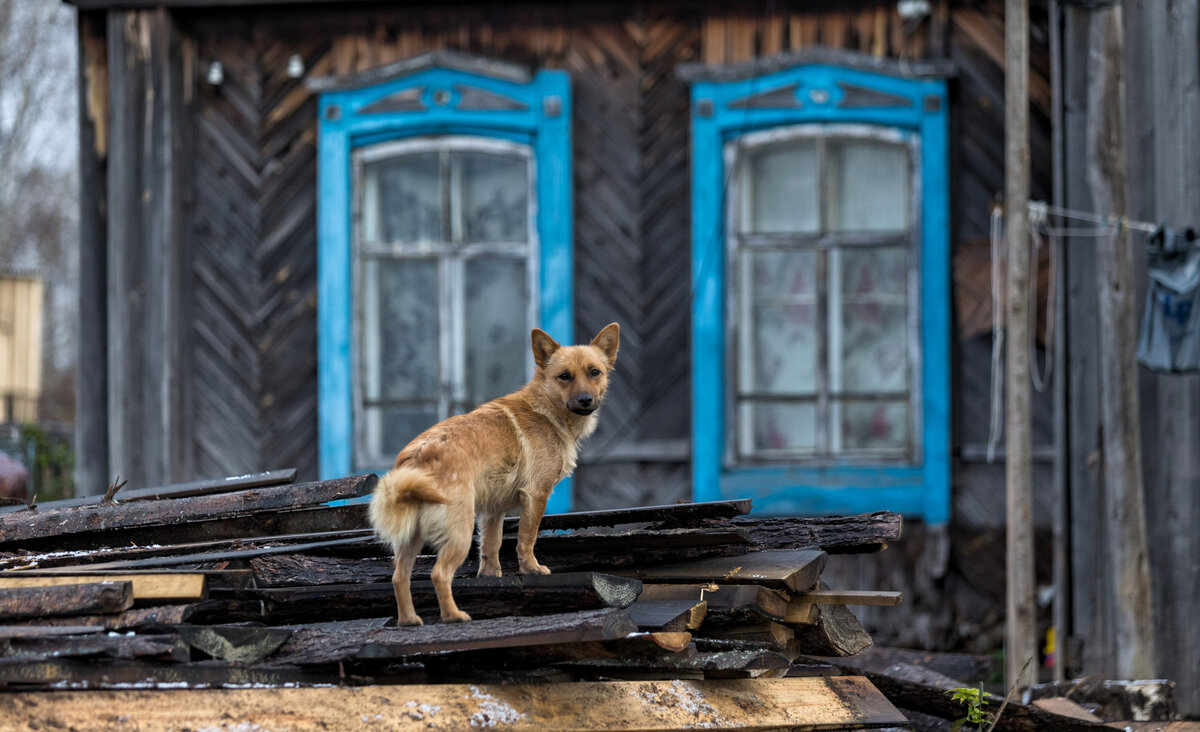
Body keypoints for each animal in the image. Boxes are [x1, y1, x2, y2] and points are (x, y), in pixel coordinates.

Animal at [369, 321, 624, 619]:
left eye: (595, 372)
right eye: (564, 376)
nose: (585, 400)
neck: (546, 409)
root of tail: (419, 453)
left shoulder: (493, 512)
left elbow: (491, 548)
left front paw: (491, 578)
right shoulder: (536, 495)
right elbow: (527, 538)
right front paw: (532, 569)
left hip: (412, 539)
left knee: (399, 577)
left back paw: (410, 621)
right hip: (459, 532)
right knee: (439, 574)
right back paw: (453, 616)